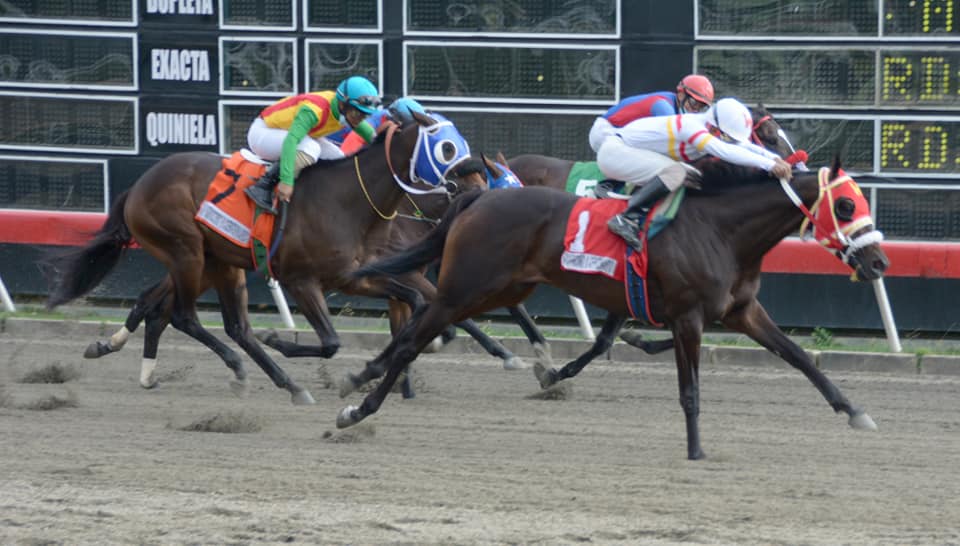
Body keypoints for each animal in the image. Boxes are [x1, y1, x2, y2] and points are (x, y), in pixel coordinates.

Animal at [43, 112, 488, 404]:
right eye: (447, 147)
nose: (480, 182)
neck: (348, 199)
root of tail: (138, 185)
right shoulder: (300, 279)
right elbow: (331, 341)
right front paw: (281, 340)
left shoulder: (354, 275)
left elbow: (416, 302)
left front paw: (395, 362)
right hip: (186, 252)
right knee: (184, 316)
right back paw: (244, 370)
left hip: (218, 262)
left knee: (219, 323)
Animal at [342, 158, 888, 460]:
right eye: (845, 207)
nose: (880, 261)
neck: (719, 230)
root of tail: (478, 198)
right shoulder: (688, 316)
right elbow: (689, 389)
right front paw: (696, 449)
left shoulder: (740, 311)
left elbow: (798, 357)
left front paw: (854, 410)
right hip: (466, 288)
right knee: (412, 339)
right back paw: (356, 409)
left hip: (497, 290)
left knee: (419, 322)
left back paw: (362, 377)